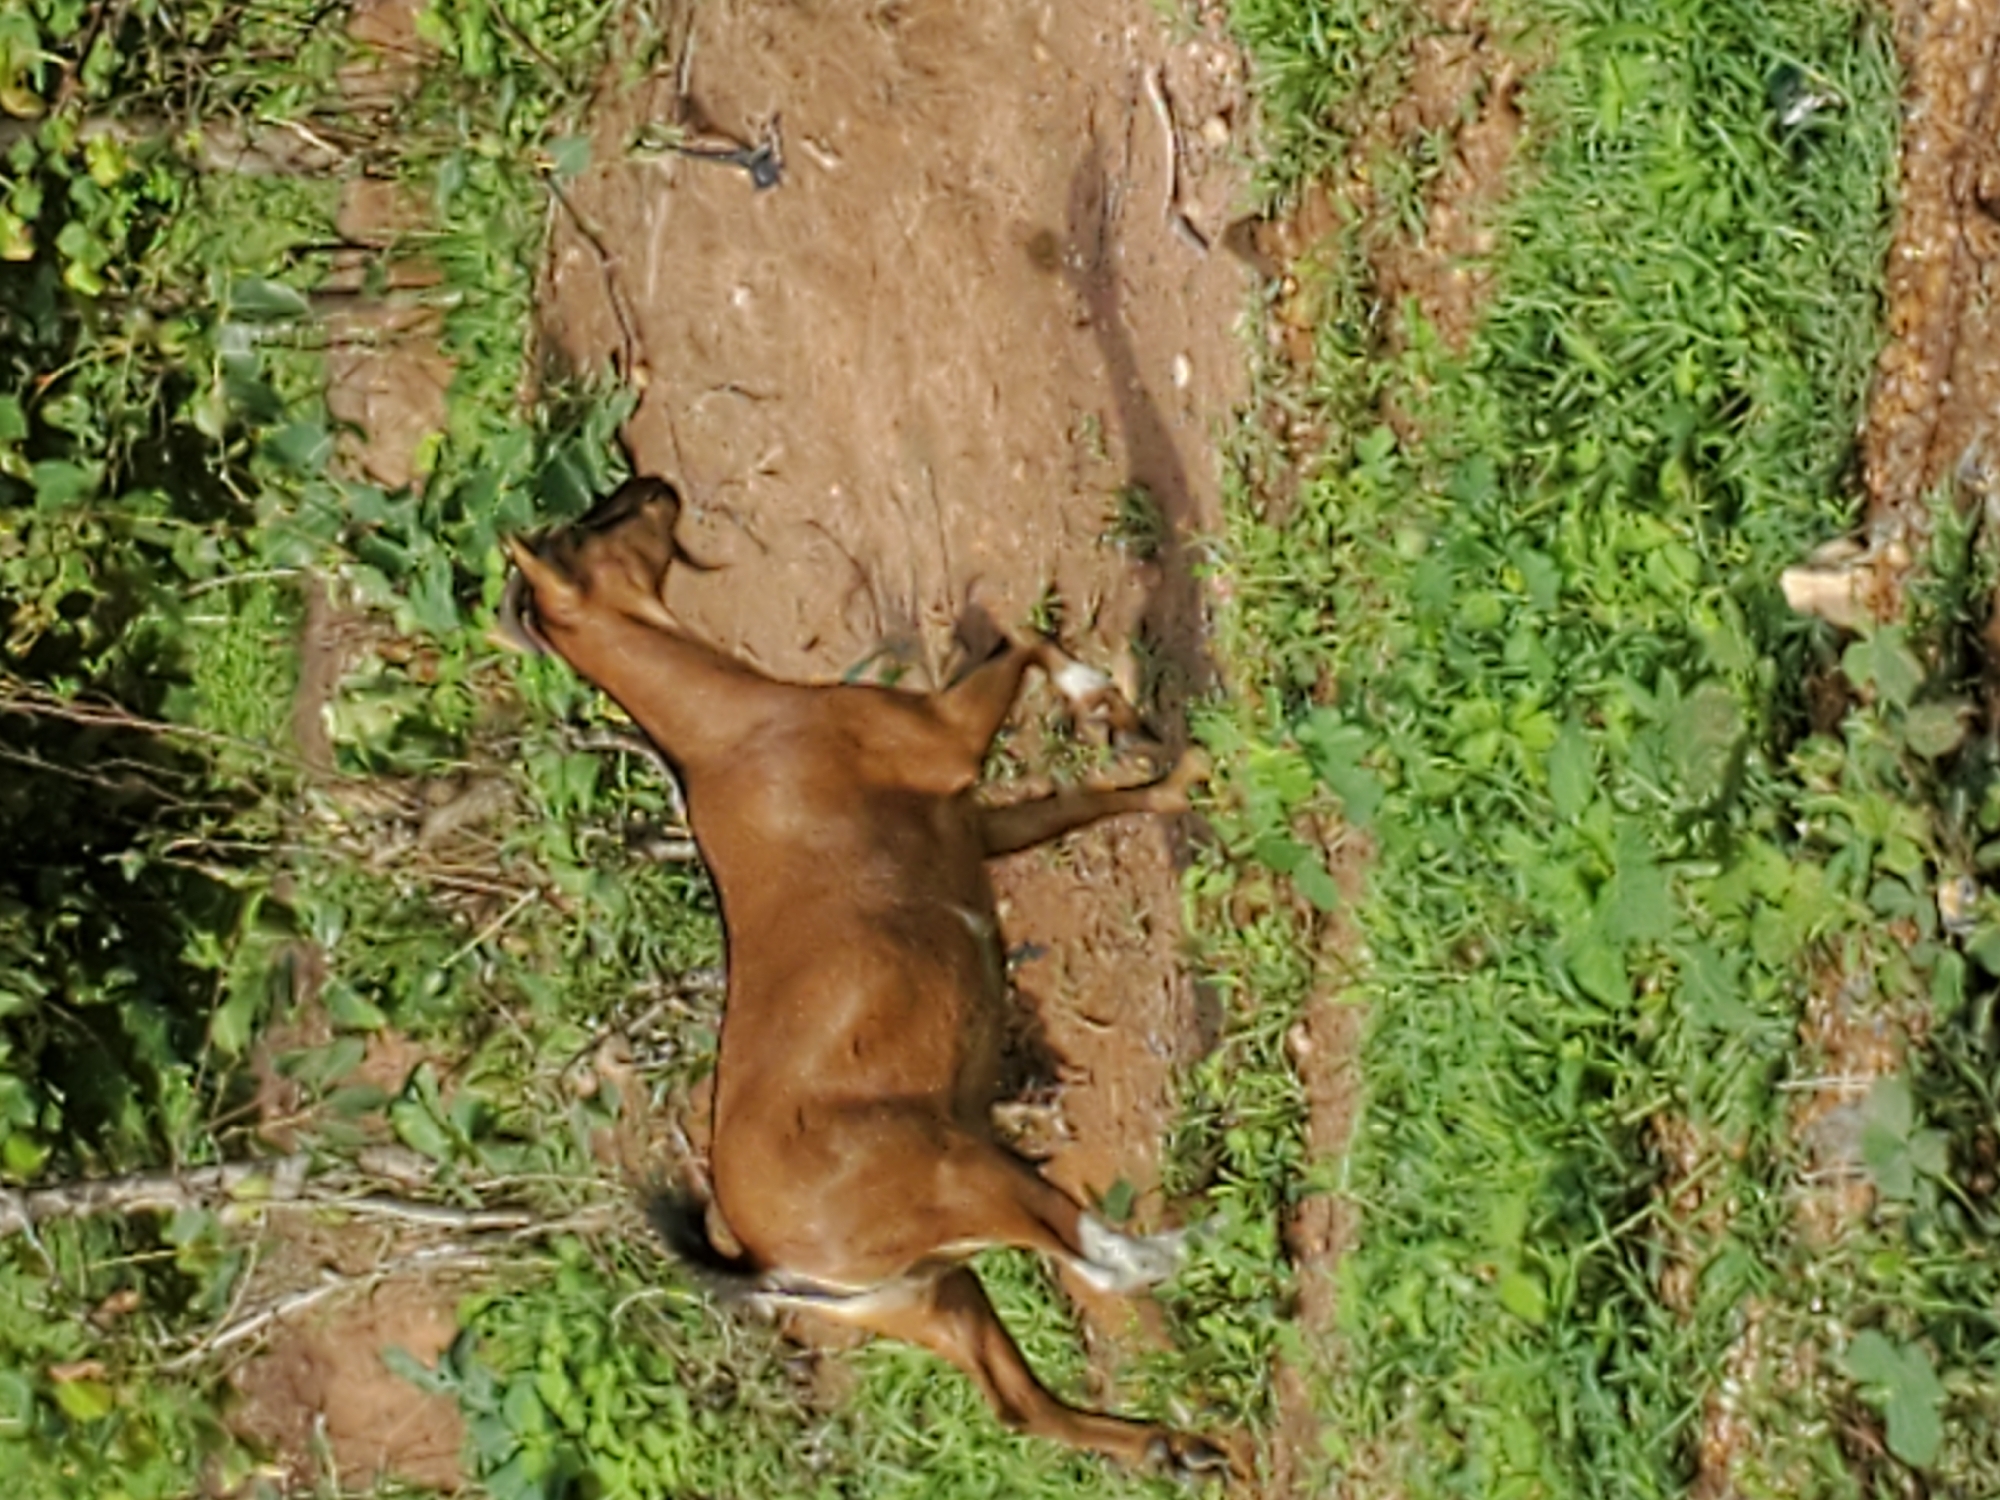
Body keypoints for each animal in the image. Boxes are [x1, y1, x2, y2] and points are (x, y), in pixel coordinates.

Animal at [505, 477, 1228, 1477]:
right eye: (588, 531)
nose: (654, 488)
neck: (736, 733)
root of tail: (770, 1263)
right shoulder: (942, 742)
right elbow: (1024, 643)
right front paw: (1115, 713)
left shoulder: (973, 827)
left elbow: (1076, 804)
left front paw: (1176, 767)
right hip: (961, 1178)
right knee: (1099, 1260)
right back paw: (1201, 1239)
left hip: (927, 1297)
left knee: (1019, 1402)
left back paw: (1175, 1447)